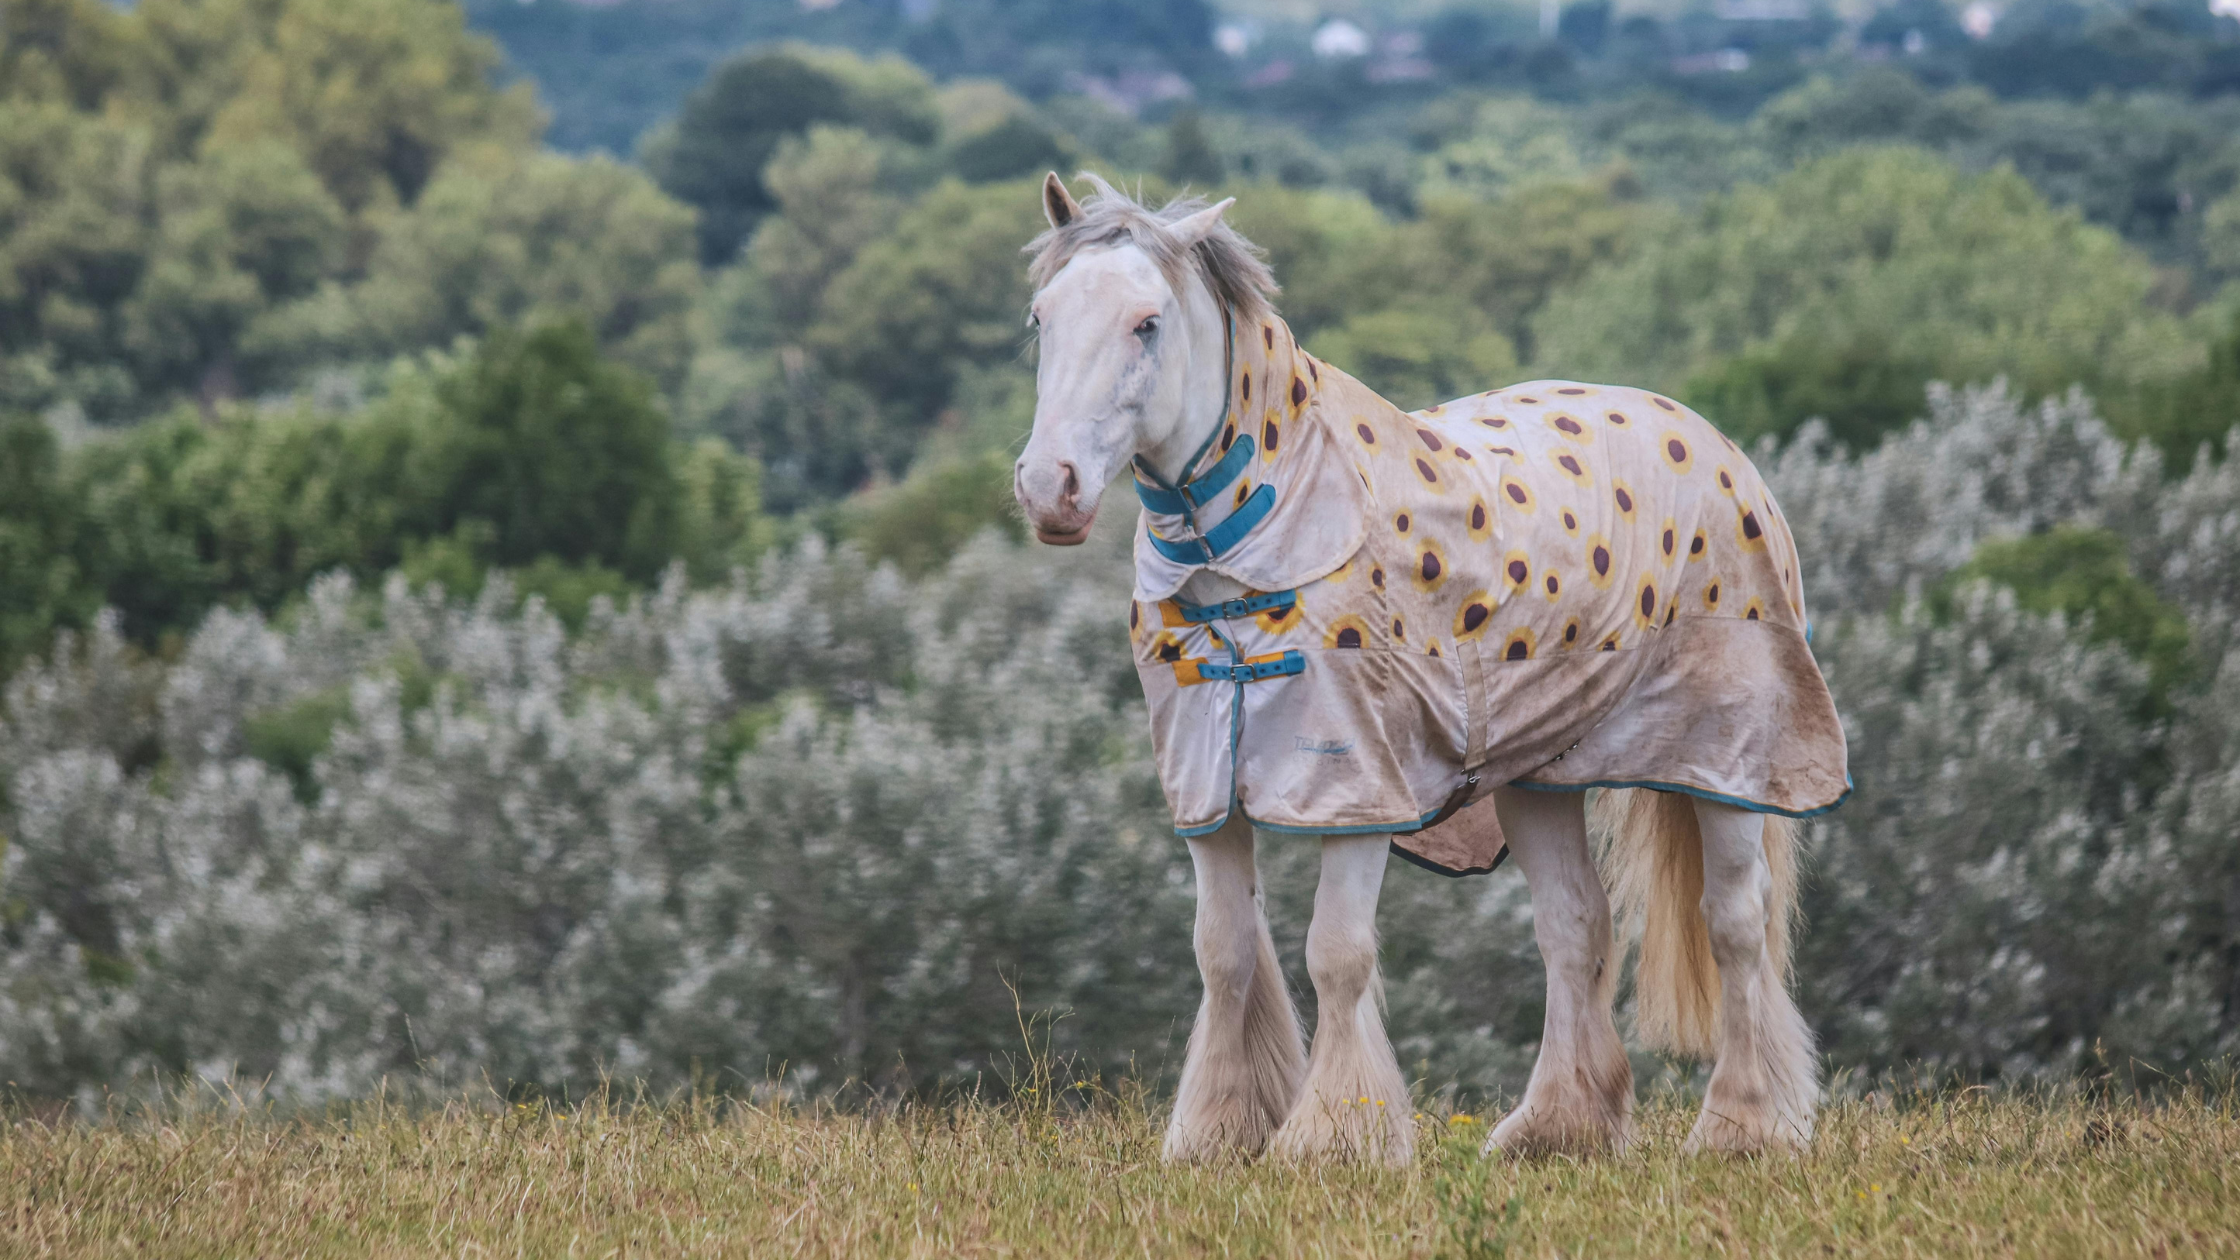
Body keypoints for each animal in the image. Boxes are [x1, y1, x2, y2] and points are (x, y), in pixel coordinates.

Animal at [1012, 173, 1848, 1165]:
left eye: (1145, 323)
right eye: (1041, 317)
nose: (1049, 490)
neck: (1260, 538)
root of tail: (1718, 445)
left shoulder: (1361, 786)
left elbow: (1336, 953)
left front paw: (1332, 1136)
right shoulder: (1206, 788)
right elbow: (1223, 951)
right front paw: (1218, 1131)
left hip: (1727, 764)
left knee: (1736, 924)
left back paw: (1744, 1126)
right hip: (1540, 777)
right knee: (1576, 927)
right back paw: (1557, 1126)